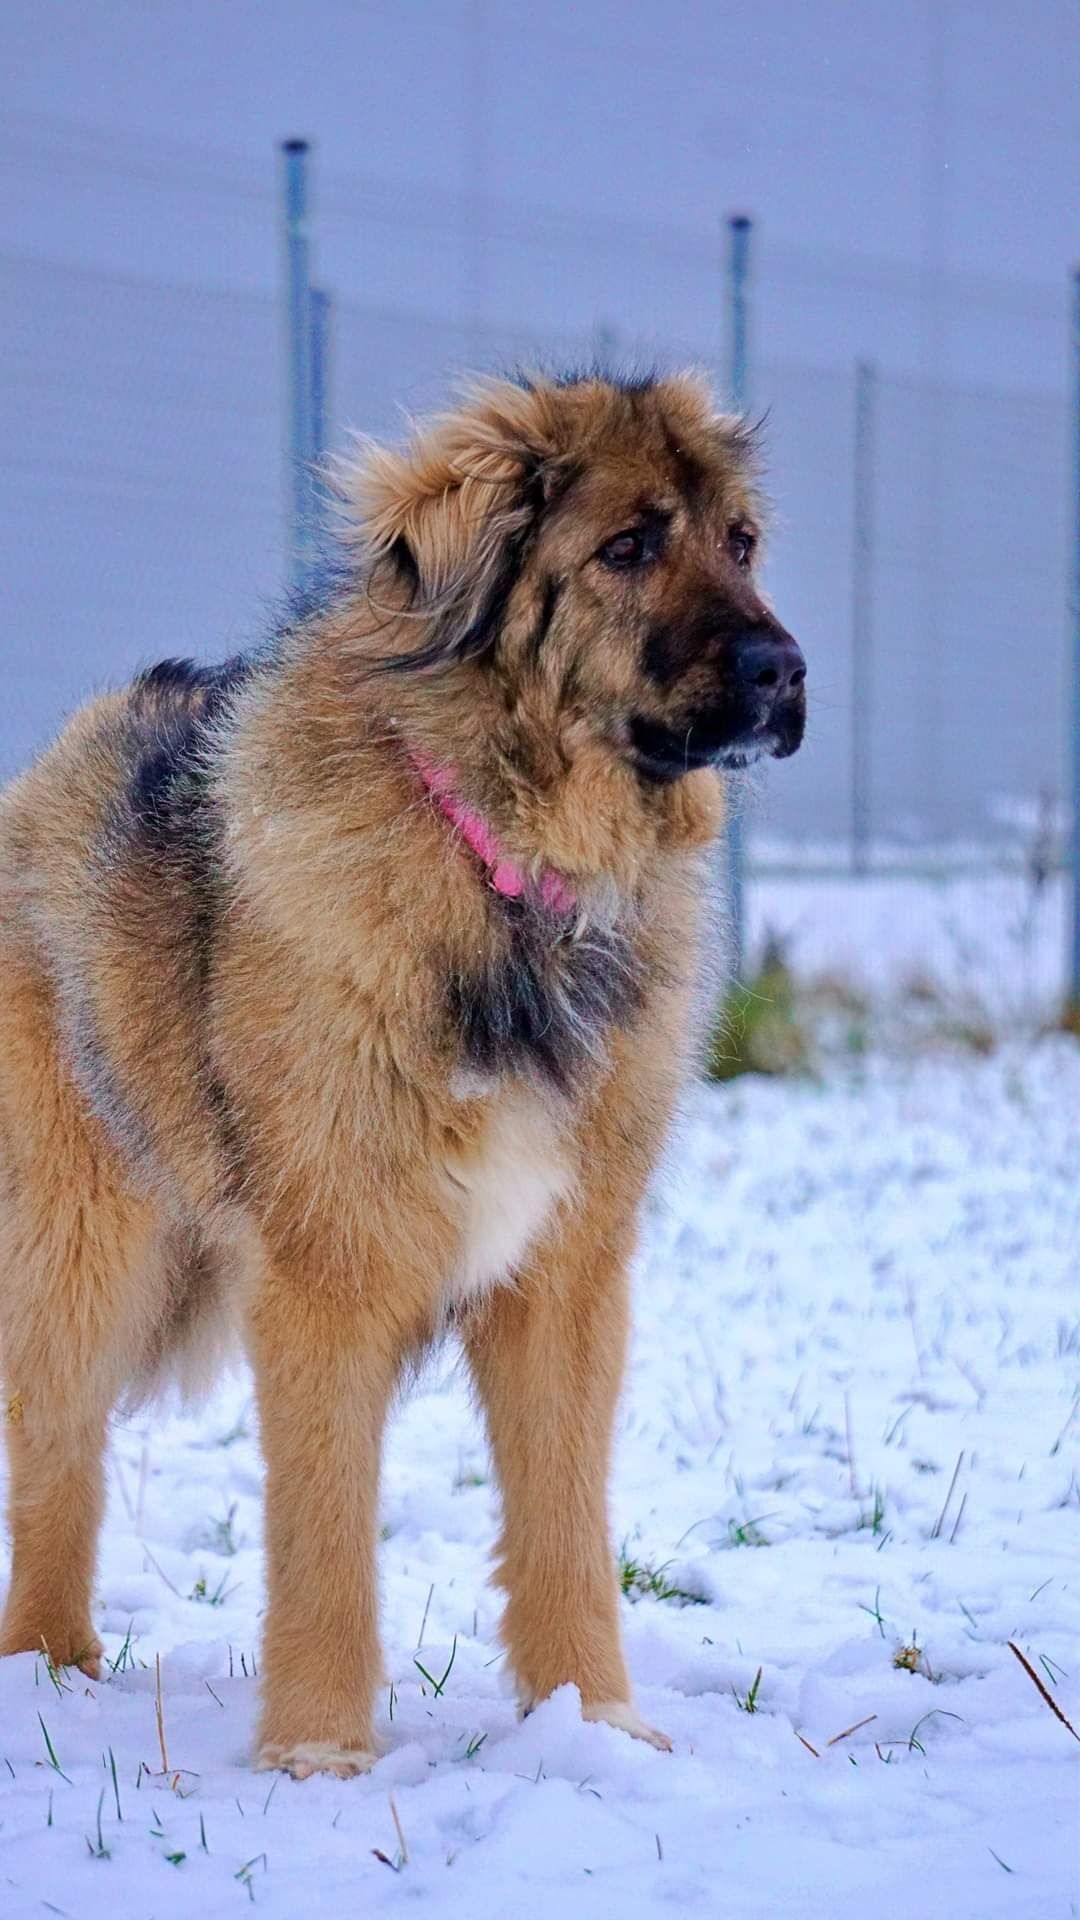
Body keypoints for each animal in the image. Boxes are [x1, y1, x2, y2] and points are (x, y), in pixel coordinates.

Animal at [0, 366, 799, 1774]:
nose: (784, 668)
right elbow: (323, 1532)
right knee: (58, 1447)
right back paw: (49, 1669)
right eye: (628, 547)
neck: (511, 874)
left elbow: (563, 1517)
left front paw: (593, 1721)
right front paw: (319, 1754)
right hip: (82, 1237)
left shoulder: (567, 1271)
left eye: (742, 543)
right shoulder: (330, 1263)